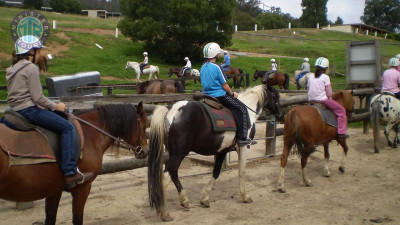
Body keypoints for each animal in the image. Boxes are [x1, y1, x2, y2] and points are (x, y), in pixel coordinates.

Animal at [0, 103, 149, 224]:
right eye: (143, 126)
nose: (146, 151)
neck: (89, 134)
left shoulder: (54, 190)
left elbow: (50, 218)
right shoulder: (82, 188)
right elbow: (77, 219)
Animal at [148, 84, 284, 220]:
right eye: (275, 96)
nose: (280, 115)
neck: (248, 109)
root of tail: (170, 110)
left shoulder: (222, 151)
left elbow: (216, 172)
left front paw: (205, 199)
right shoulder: (245, 147)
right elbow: (242, 171)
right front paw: (244, 196)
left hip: (174, 153)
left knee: (173, 174)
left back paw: (184, 201)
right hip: (178, 153)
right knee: (167, 175)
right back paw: (164, 212)